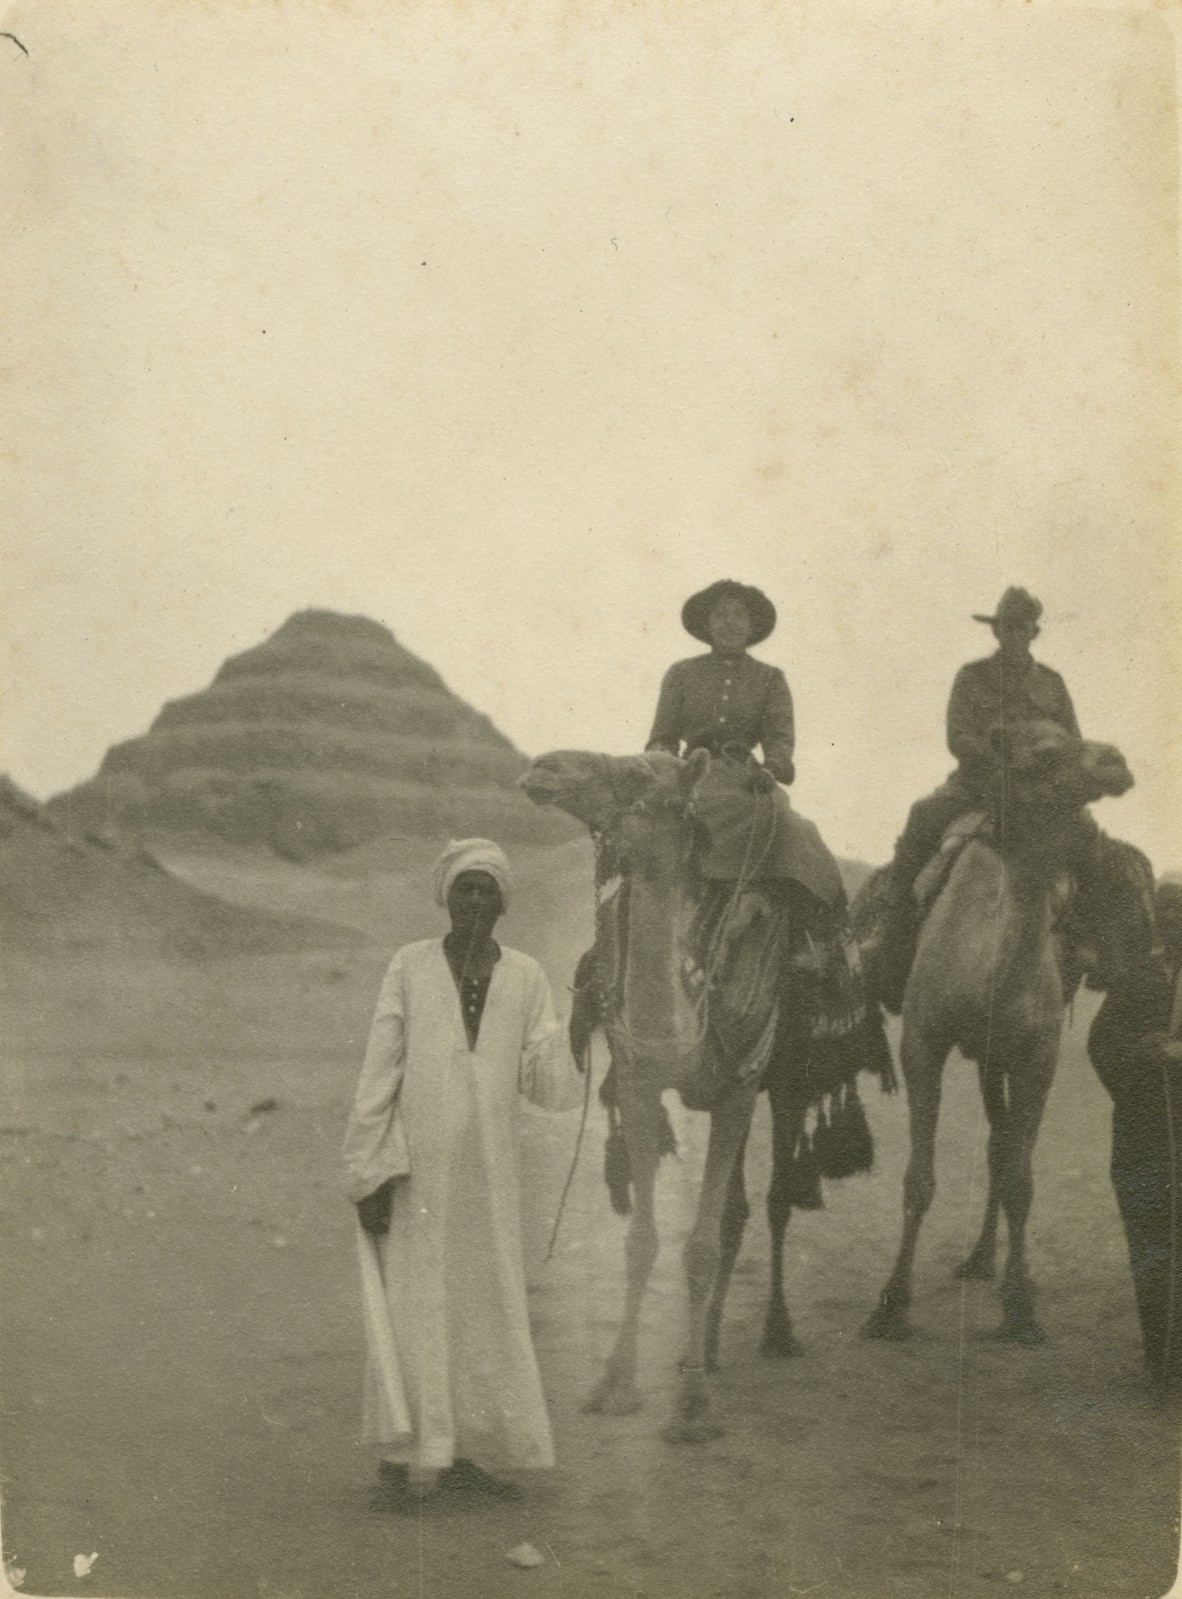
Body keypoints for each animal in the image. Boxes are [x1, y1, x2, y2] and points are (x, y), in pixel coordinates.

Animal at [521, 745, 876, 1439]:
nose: (544, 767)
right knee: (737, 1209)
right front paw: (615, 1383)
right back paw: (705, 1350)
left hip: (783, 1082)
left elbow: (703, 1246)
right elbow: (643, 1243)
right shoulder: (639, 1083)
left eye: (638, 773)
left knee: (773, 1203)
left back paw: (772, 1333)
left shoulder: (739, 1087)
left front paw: (691, 1408)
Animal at [863, 719, 1132, 1343]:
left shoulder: (1037, 1056)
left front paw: (1021, 1303)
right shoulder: (922, 1043)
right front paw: (891, 1303)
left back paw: (991, 1262)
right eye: (1043, 754)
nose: (1116, 761)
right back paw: (979, 1258)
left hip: (1000, 1057)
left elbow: (1020, 1177)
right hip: (984, 1058)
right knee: (995, 1144)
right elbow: (919, 1179)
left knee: (1004, 1149)